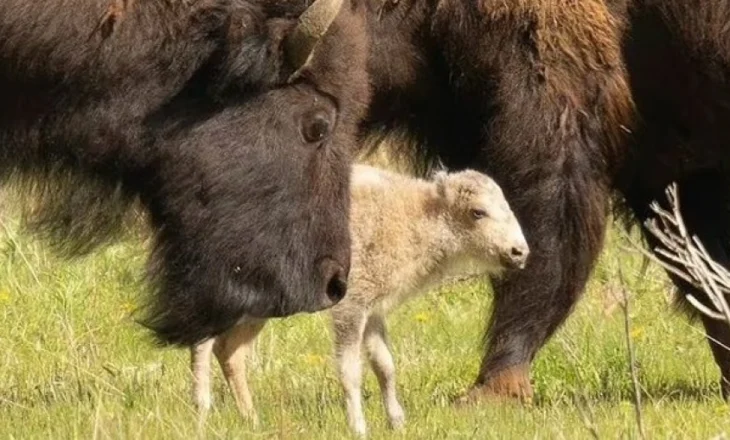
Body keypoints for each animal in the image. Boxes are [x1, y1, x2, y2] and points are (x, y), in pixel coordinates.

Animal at [191, 166, 528, 436]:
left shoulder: (373, 311)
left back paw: (252, 420)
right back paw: (203, 410)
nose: (519, 252)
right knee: (205, 343)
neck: (417, 216)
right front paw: (359, 427)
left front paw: (397, 422)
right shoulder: (351, 309)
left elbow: (385, 365)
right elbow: (351, 370)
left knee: (230, 351)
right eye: (478, 212)